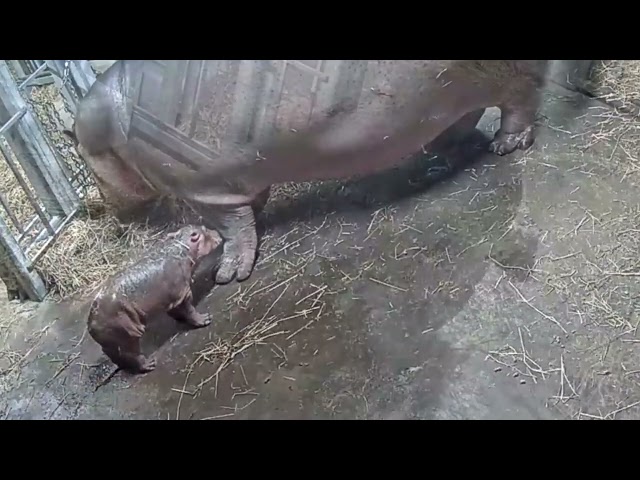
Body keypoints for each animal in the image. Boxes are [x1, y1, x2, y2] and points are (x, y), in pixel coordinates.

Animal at [69, 60, 552, 284]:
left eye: (84, 160)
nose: (95, 208)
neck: (110, 128)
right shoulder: (239, 178)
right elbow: (250, 209)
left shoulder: (204, 189)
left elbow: (231, 229)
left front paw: (228, 275)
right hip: (448, 95)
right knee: (463, 118)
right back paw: (445, 153)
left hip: (510, 79)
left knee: (521, 99)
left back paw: (506, 146)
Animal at [87, 223, 222, 374]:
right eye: (204, 229)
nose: (217, 232)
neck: (182, 247)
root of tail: (90, 325)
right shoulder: (183, 292)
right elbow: (189, 310)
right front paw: (205, 319)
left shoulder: (172, 299)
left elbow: (177, 311)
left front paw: (180, 319)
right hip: (128, 334)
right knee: (131, 353)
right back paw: (150, 364)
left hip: (115, 340)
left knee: (115, 354)